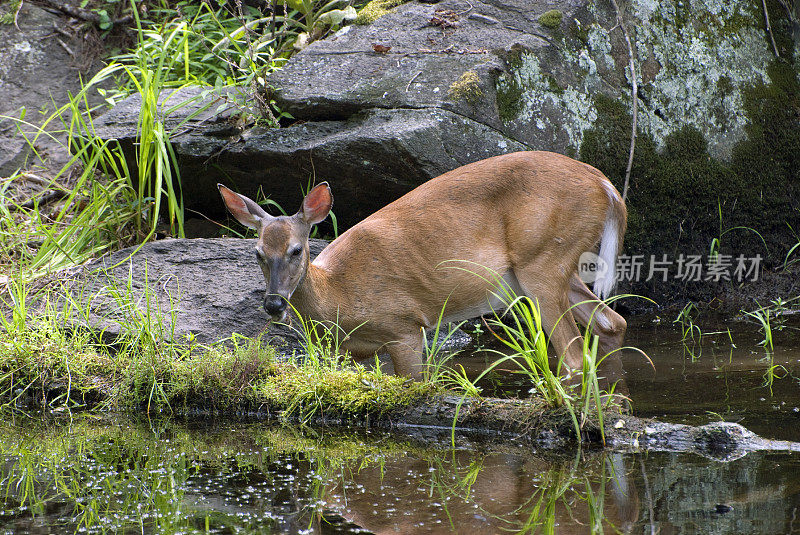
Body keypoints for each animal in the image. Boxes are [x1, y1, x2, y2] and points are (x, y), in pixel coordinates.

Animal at [219, 151, 624, 382]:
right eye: (257, 252)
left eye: (296, 250)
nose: (274, 304)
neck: (338, 295)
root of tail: (606, 186)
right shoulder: (351, 353)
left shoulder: (404, 324)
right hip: (549, 267)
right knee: (612, 322)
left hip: (542, 259)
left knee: (575, 355)